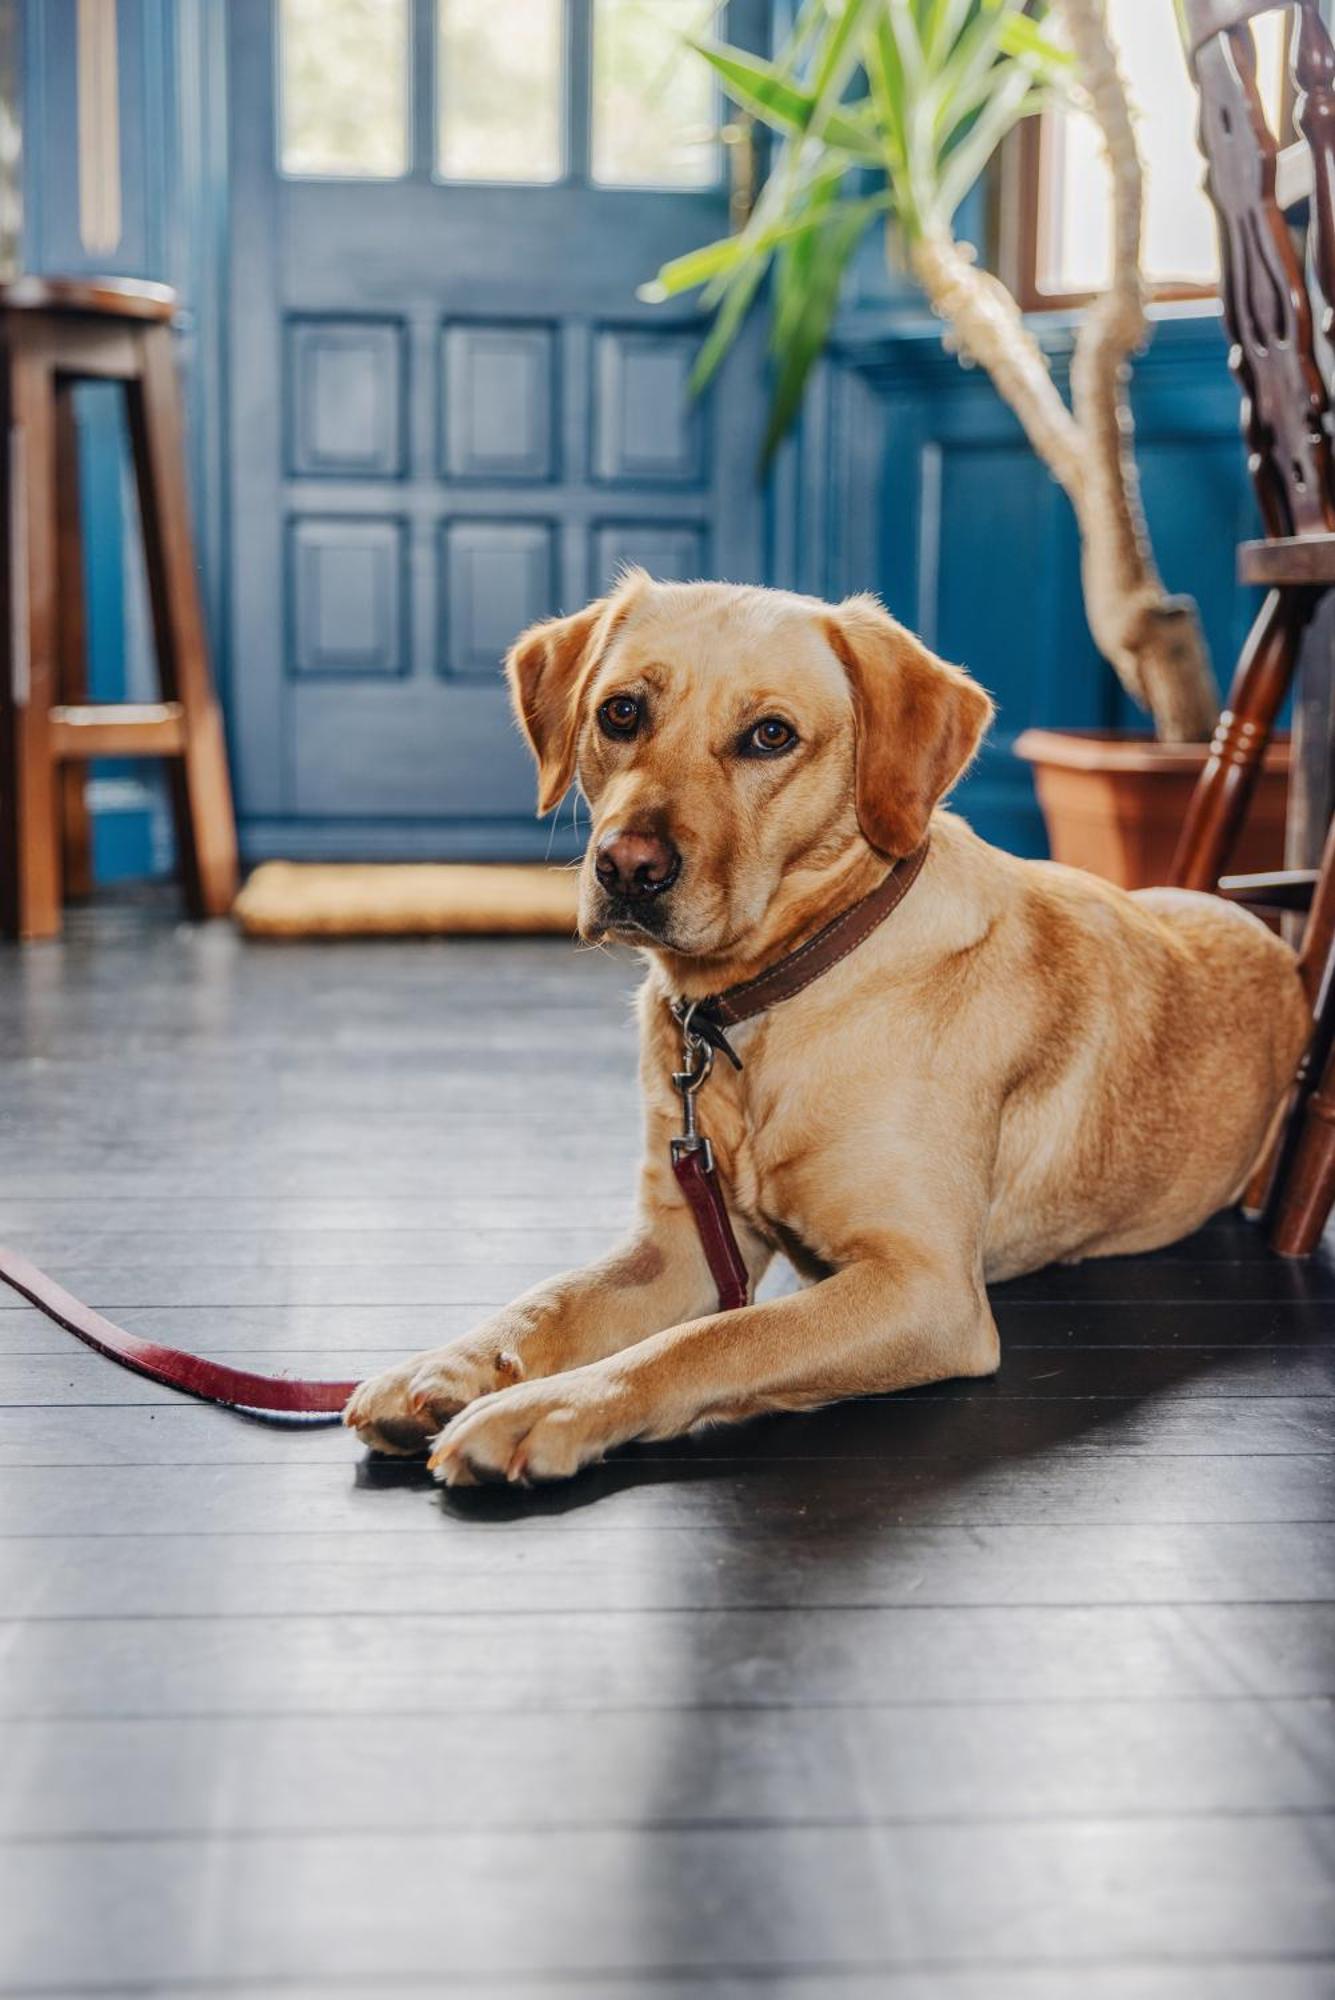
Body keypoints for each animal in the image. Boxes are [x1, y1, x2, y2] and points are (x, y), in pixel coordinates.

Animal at [347, 572, 1311, 1480]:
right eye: (620, 712)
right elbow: (552, 1298)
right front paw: (445, 1368)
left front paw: (544, 1407)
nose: (626, 867)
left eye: (770, 735)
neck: (765, 1003)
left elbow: (716, 1339)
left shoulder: (923, 1287)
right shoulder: (682, 1244)